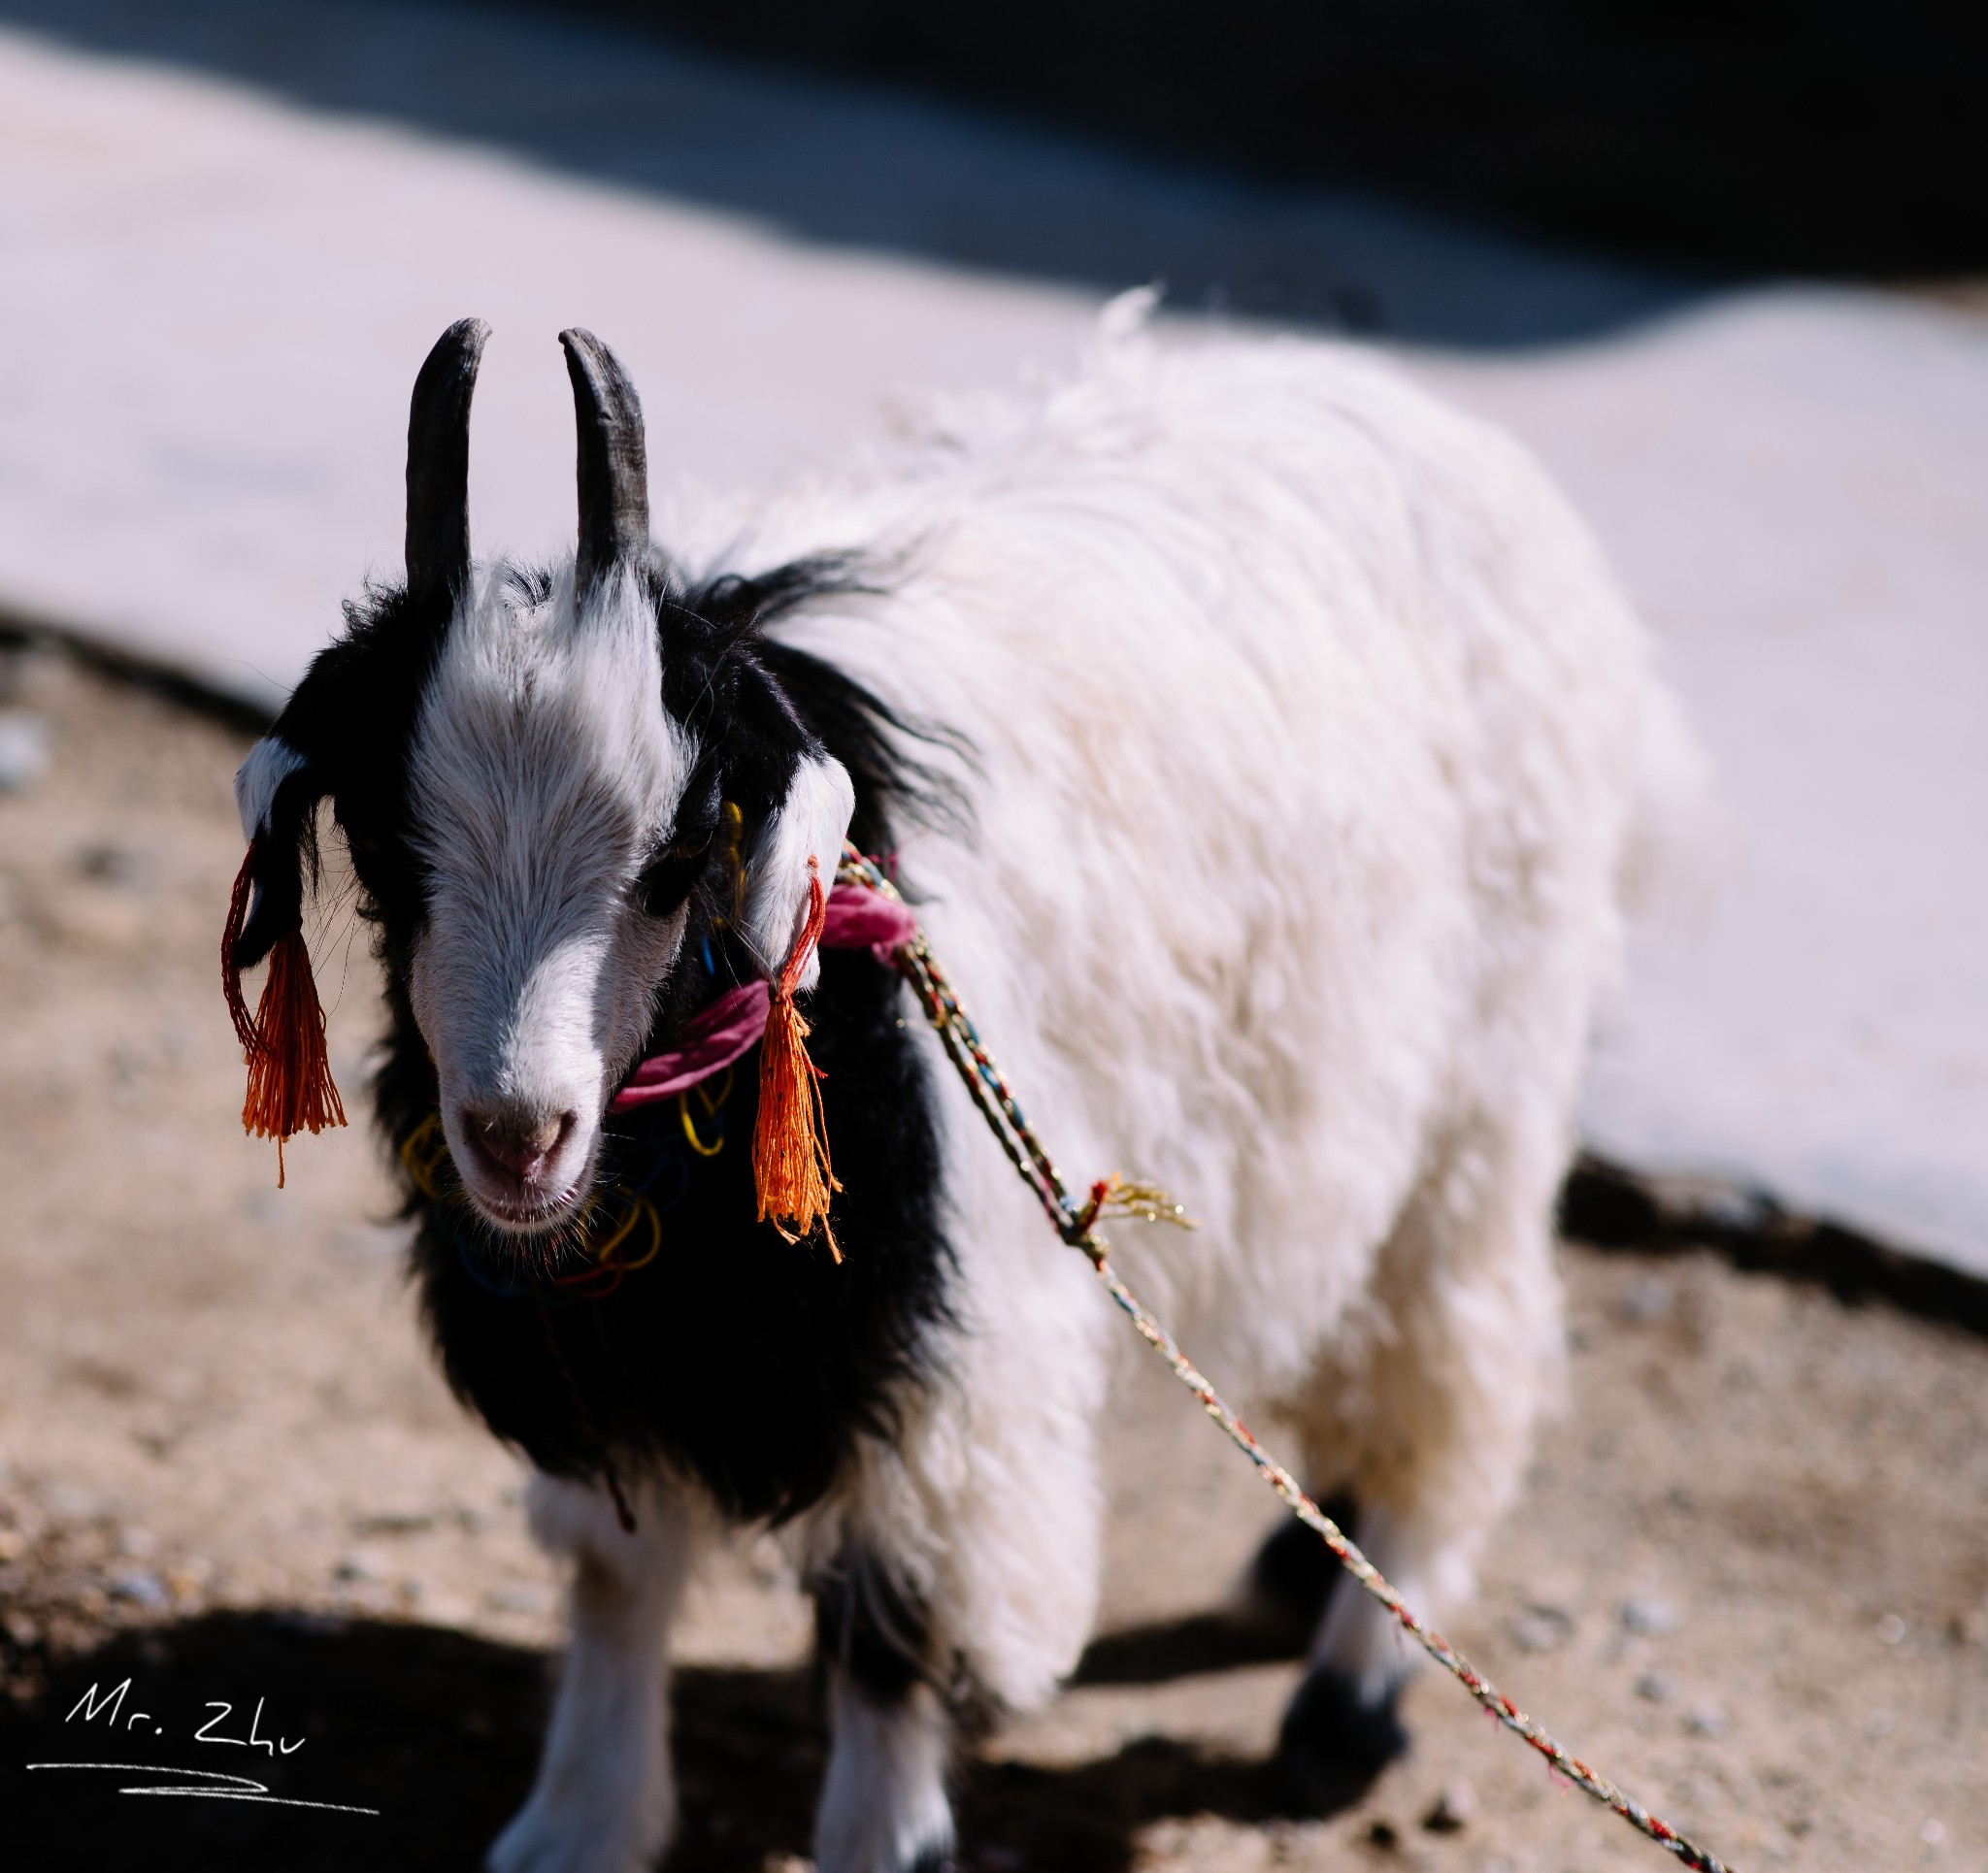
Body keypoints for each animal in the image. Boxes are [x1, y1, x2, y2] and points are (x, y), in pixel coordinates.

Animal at [228, 312, 1693, 1873]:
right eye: (385, 855)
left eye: (678, 857)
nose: (518, 1136)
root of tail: (1442, 430)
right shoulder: (606, 1357)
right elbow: (615, 1579)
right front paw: (579, 1825)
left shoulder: (951, 1359)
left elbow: (893, 1621)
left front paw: (884, 1841)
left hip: (1479, 1095)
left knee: (1453, 1364)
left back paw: (1346, 1699)